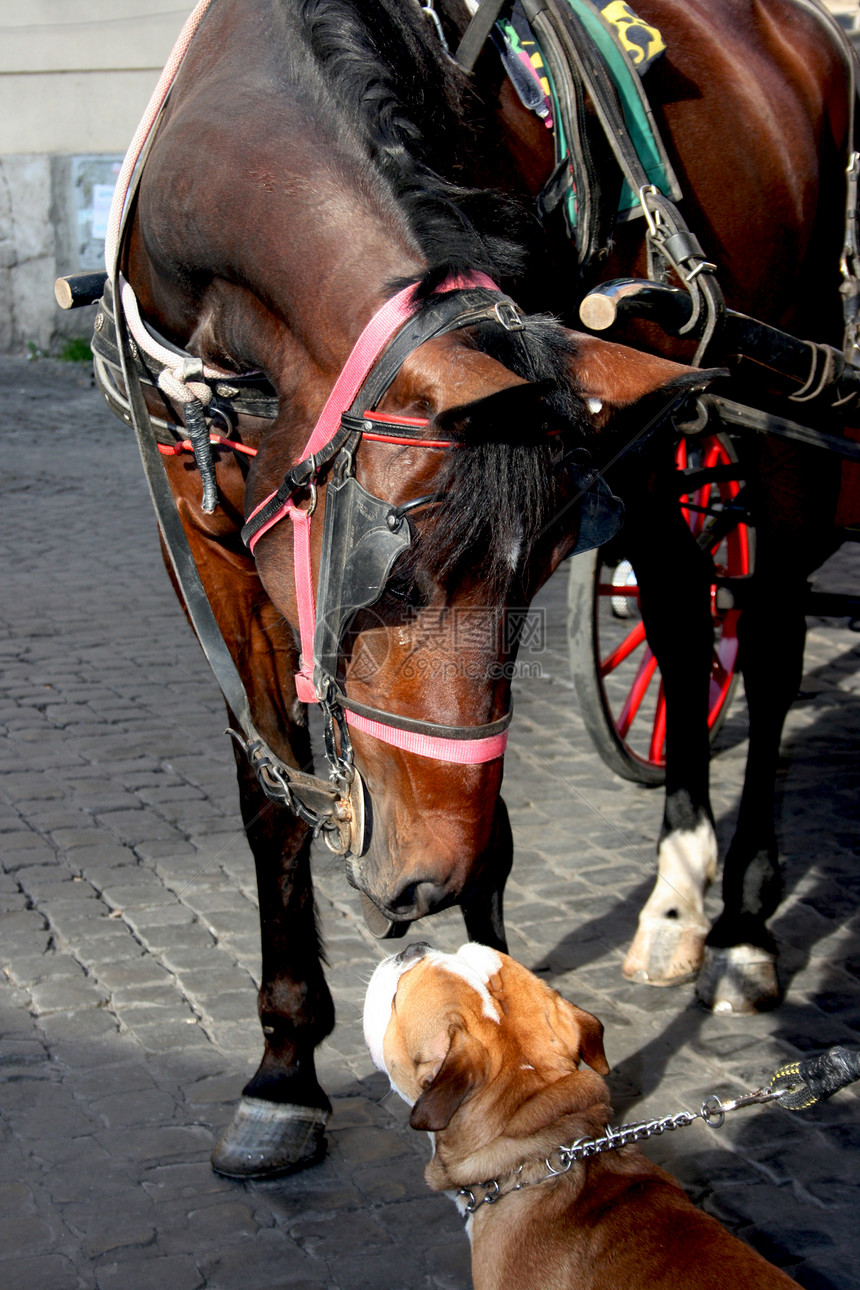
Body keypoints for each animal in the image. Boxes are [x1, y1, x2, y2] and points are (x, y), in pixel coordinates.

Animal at [101, 0, 691, 1176]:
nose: (422, 882)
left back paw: (709, 921)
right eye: (399, 574)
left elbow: (492, 817)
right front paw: (284, 1072)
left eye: (544, 565)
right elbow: (268, 796)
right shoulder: (208, 543)